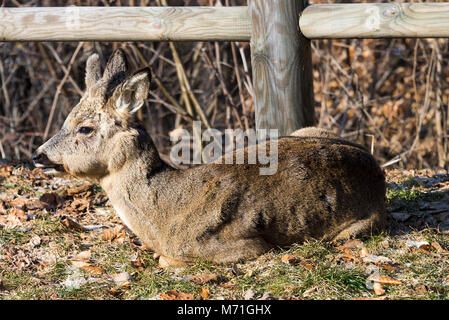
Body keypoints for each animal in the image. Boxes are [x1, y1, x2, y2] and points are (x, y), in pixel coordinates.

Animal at [34, 48, 384, 266]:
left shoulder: (244, 245)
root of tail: (377, 169)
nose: (39, 155)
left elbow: (167, 261)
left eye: (85, 128)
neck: (163, 214)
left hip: (358, 226)